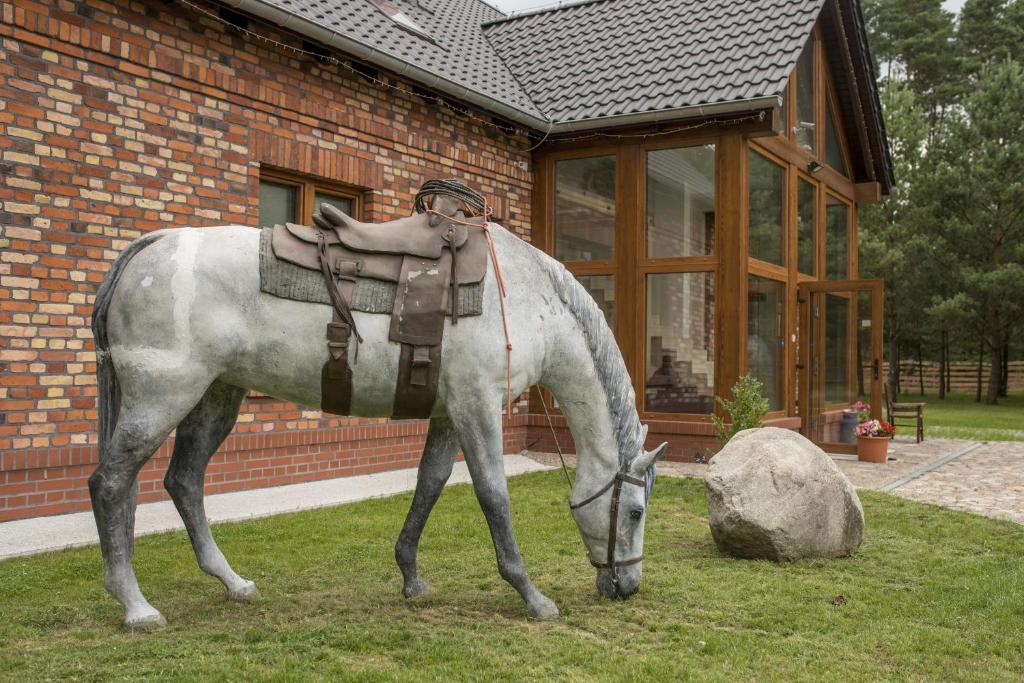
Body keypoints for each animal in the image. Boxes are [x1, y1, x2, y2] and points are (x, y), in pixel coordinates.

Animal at [92, 222, 667, 626]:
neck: (528, 301)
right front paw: (533, 597)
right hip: (161, 396)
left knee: (184, 481)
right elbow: (493, 496)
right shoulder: (478, 407)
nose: (628, 587)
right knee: (112, 483)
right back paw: (136, 606)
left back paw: (233, 582)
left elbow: (430, 484)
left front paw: (411, 578)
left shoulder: (450, 414)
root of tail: (154, 244)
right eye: (636, 512)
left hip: (216, 397)